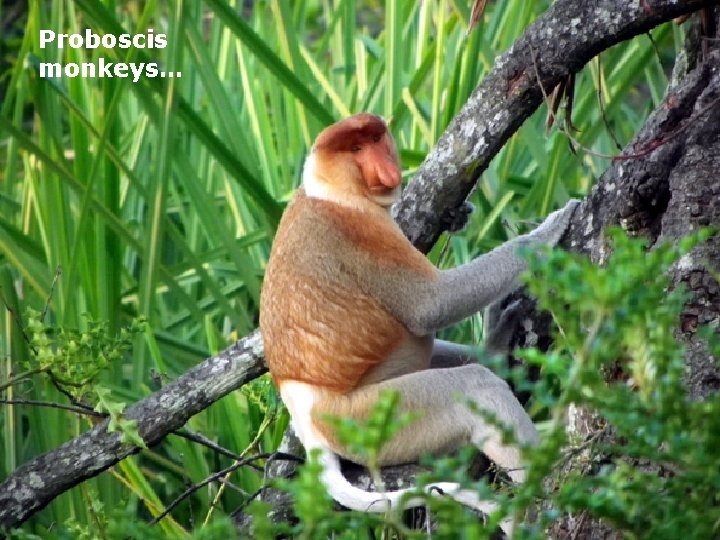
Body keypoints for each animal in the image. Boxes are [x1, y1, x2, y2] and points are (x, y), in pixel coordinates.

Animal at [262, 115, 576, 528]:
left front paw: (459, 215)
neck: (326, 189)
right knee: (476, 387)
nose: (387, 169)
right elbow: (432, 304)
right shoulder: (362, 233)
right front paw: (547, 230)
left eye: (376, 138)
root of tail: (301, 409)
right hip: (368, 420)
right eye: (356, 149)